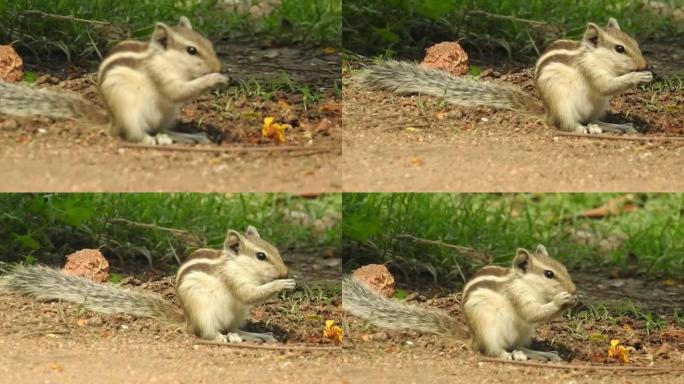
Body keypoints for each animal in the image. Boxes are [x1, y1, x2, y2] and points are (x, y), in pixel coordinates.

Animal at [0, 16, 227, 146]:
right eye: (192, 50)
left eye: (208, 43)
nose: (218, 67)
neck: (166, 61)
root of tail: (113, 122)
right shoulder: (159, 73)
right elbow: (176, 91)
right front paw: (215, 79)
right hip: (129, 112)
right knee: (133, 134)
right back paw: (149, 140)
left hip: (168, 113)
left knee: (162, 129)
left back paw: (190, 137)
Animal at [0, 225, 296, 342]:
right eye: (261, 256)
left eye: (274, 250)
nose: (285, 270)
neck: (235, 264)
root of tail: (187, 320)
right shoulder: (232, 279)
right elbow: (248, 293)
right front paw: (282, 285)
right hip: (204, 312)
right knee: (208, 333)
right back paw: (224, 338)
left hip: (237, 314)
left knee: (234, 327)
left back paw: (257, 335)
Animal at [342, 244, 576, 362]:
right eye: (549, 274)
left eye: (564, 268)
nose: (574, 290)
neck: (525, 284)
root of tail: (473, 338)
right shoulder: (516, 295)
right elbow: (532, 312)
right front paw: (561, 300)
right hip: (489, 329)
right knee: (492, 350)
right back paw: (507, 355)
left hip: (524, 332)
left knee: (519, 346)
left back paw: (542, 354)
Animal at [358, 18, 652, 135]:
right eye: (619, 48)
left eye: (636, 43)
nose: (643, 63)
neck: (594, 57)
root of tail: (547, 112)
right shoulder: (590, 71)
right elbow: (605, 84)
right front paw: (638, 78)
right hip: (563, 103)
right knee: (568, 124)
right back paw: (583, 129)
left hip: (598, 106)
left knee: (595, 119)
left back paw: (617, 127)